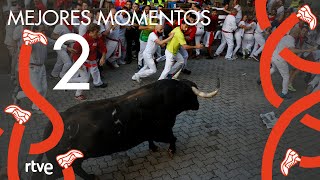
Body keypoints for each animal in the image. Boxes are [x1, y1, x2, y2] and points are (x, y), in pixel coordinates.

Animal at [35, 79, 220, 180]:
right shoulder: (162, 131)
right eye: (191, 94)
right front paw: (171, 150)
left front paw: (153, 148)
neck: (166, 97)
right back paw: (92, 177)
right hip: (63, 163)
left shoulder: (151, 132)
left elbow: (152, 139)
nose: (197, 105)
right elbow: (173, 138)